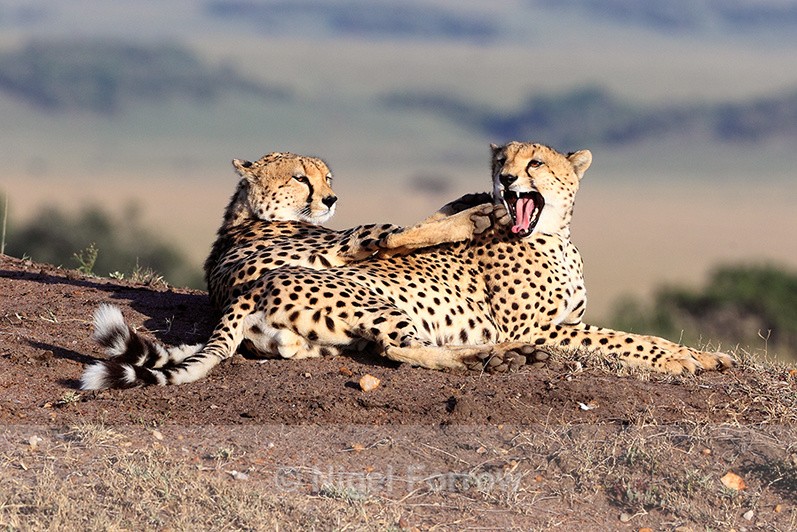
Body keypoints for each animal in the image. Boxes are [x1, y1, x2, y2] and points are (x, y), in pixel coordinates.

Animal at [80, 151, 493, 389]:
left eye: (328, 177)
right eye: (299, 177)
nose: (331, 199)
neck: (247, 214)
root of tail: (238, 302)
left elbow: (423, 219)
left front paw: (469, 199)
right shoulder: (338, 246)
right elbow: (400, 231)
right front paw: (472, 215)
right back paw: (497, 353)